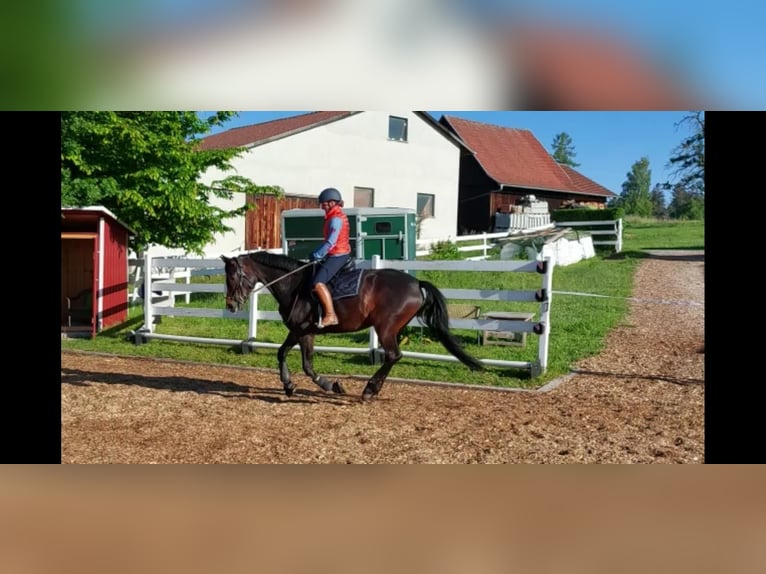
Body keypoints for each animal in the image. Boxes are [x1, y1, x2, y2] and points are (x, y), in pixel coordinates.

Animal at [222, 252, 486, 400]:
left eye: (232, 276)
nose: (231, 305)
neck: (295, 284)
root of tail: (415, 283)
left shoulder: (300, 330)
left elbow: (296, 360)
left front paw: (321, 385)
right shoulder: (303, 332)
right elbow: (294, 358)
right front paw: (296, 386)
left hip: (385, 328)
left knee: (393, 355)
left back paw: (369, 390)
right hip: (393, 329)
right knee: (393, 356)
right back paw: (372, 389)